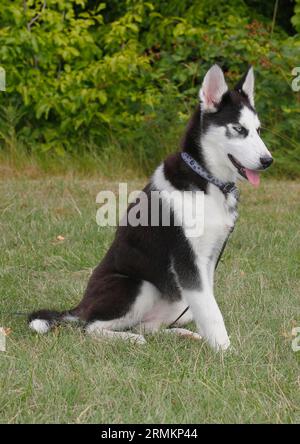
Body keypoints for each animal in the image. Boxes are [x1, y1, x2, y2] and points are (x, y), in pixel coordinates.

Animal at [29, 65, 274, 350]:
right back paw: (130, 339)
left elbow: (207, 306)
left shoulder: (209, 259)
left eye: (258, 130)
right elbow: (212, 312)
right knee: (91, 327)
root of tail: (80, 306)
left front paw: (213, 344)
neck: (206, 181)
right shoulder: (186, 259)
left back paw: (179, 333)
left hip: (177, 299)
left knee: (149, 326)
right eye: (238, 129)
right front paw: (226, 351)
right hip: (139, 287)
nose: (268, 160)